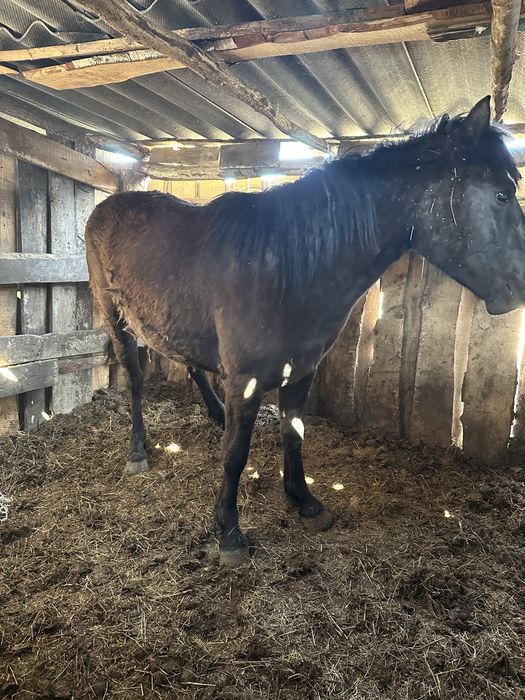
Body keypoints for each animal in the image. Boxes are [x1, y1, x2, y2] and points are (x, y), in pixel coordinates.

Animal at [86, 96, 525, 566]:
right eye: (502, 194)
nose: (521, 288)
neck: (283, 267)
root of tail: (105, 207)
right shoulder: (246, 381)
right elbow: (235, 454)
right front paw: (229, 533)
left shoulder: (301, 370)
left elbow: (292, 434)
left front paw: (305, 502)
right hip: (114, 316)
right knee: (134, 378)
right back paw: (137, 451)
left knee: (188, 362)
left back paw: (214, 415)